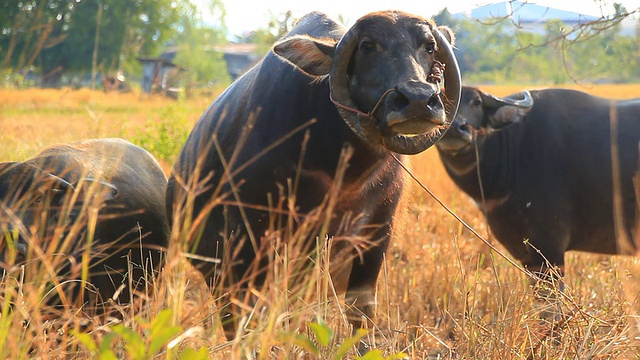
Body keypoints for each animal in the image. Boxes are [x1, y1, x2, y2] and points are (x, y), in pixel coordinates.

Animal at [166, 10, 460, 338]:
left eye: (429, 46)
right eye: (368, 46)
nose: (419, 99)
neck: (344, 171)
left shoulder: (376, 238)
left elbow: (361, 311)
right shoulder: (247, 244)